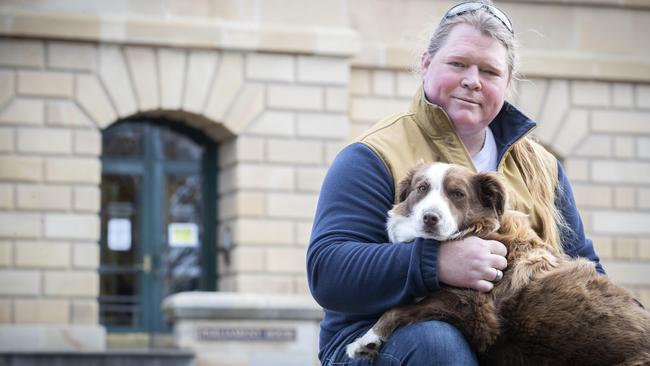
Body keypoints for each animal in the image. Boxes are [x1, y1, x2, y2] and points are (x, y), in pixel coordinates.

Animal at [344, 164, 648, 366]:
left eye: (457, 194)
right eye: (422, 188)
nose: (430, 218)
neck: (475, 231)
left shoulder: (474, 311)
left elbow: (399, 309)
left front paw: (367, 339)